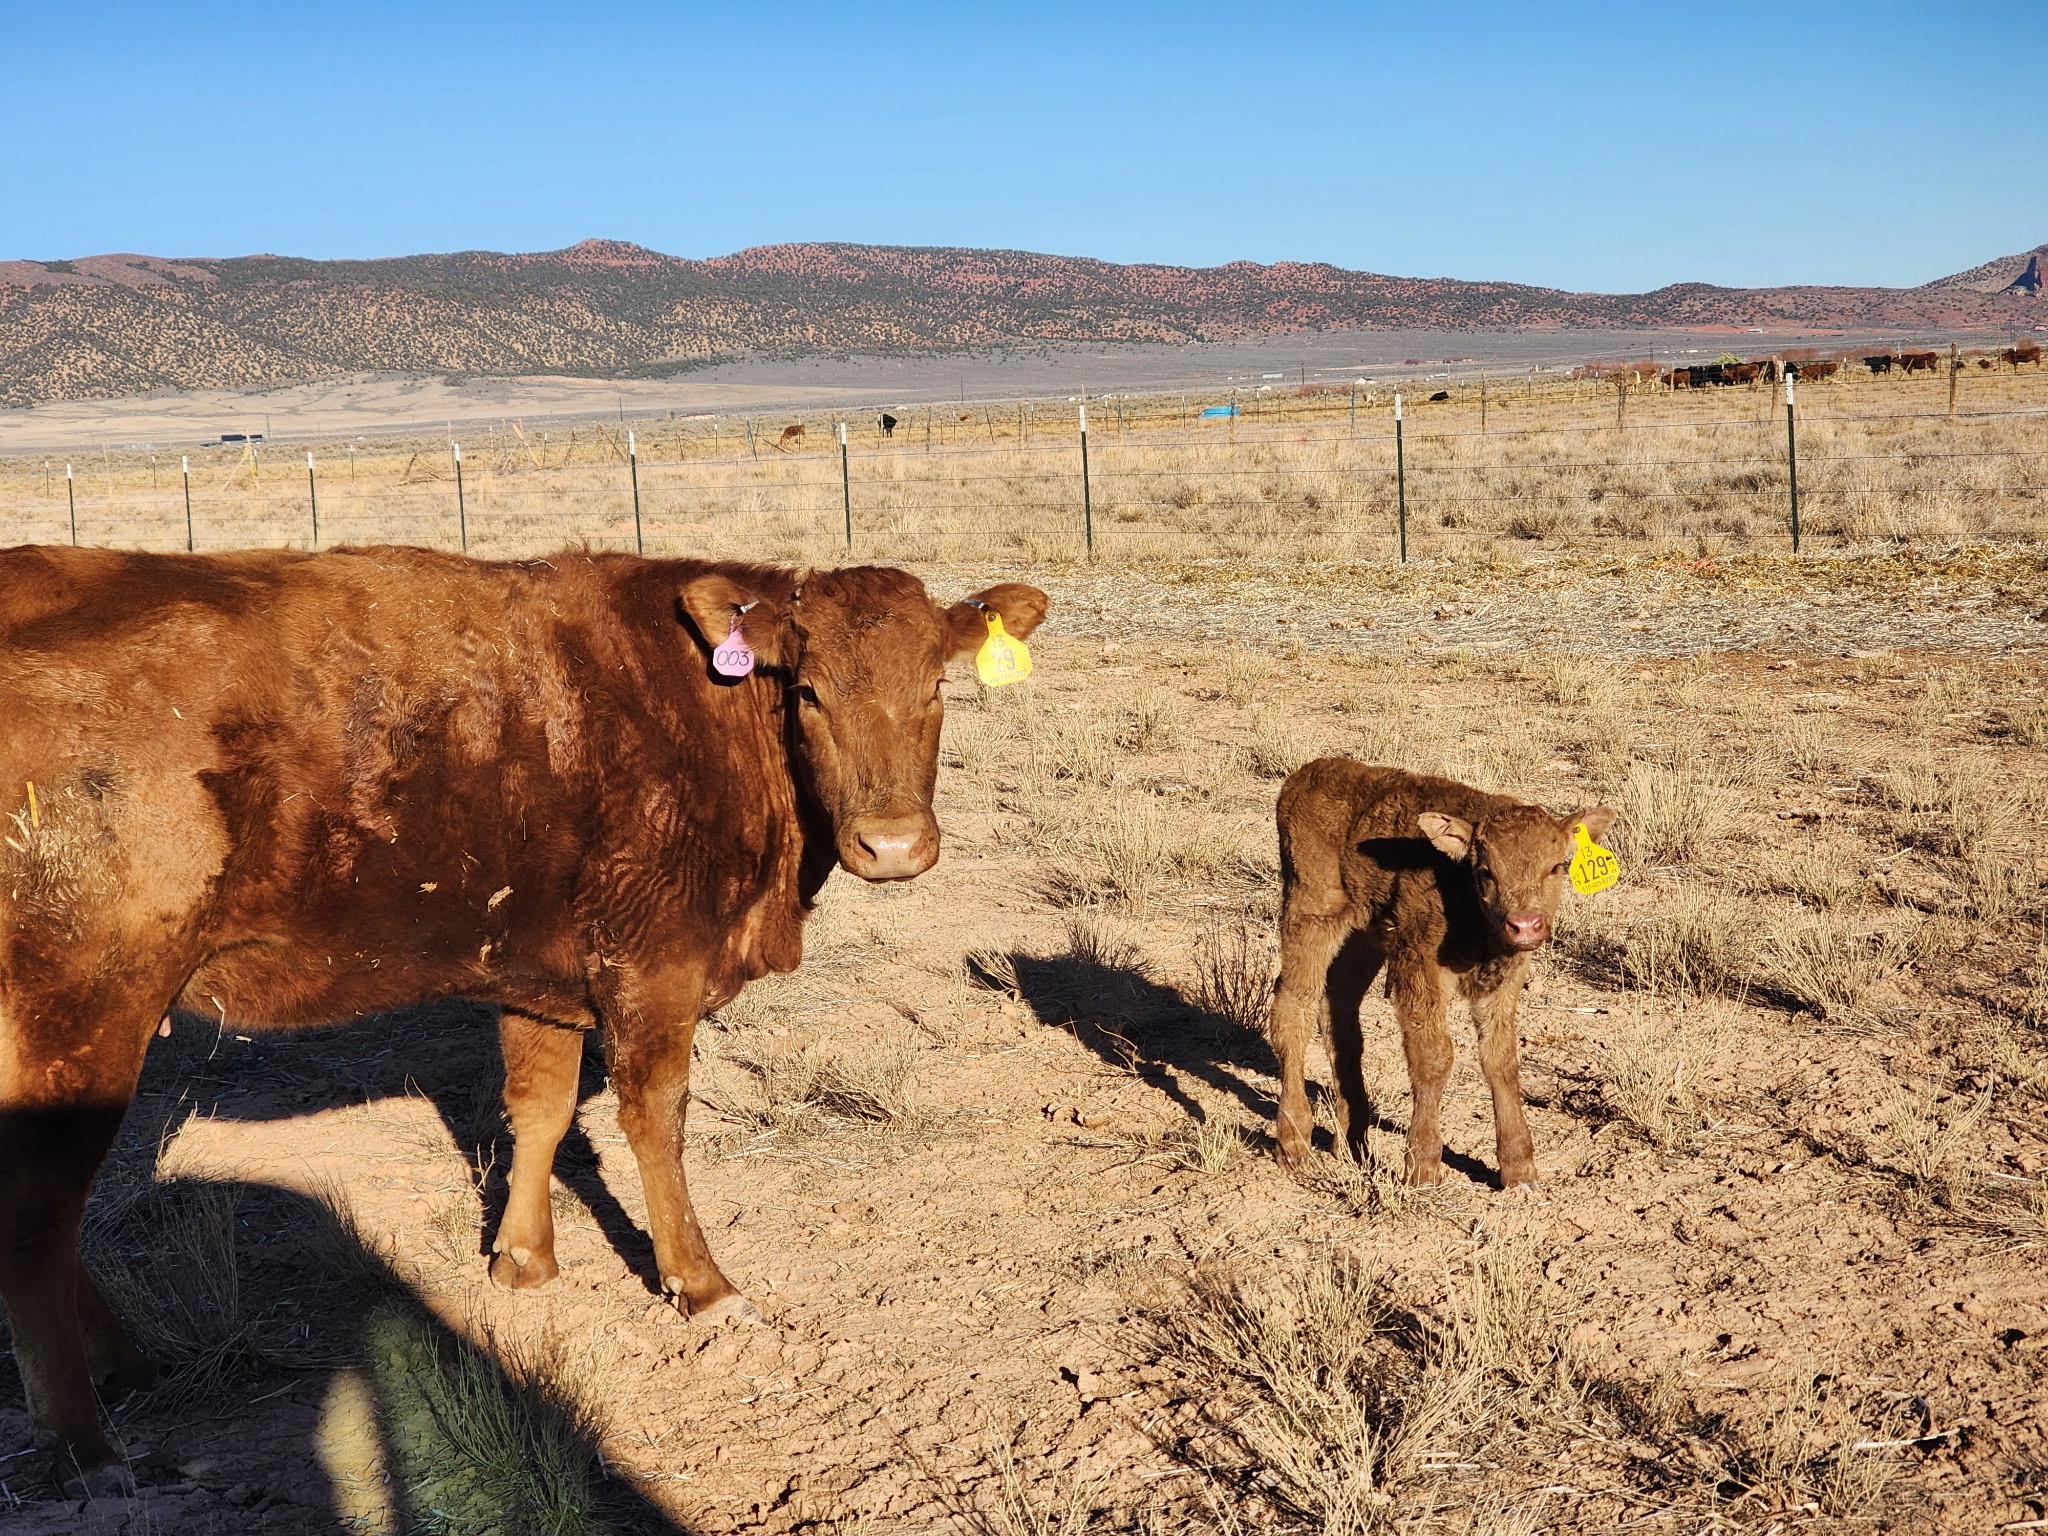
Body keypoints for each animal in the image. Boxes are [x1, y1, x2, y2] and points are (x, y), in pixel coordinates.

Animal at [0, 544, 1048, 1496]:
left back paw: (130, 1368)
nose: (894, 845)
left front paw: (523, 1260)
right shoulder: (653, 964)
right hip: (85, 1015)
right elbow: (654, 1119)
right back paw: (90, 1447)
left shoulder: (539, 976)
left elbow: (538, 1109)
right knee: (37, 1223)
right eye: (812, 693)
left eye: (938, 688)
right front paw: (702, 1284)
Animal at [1268, 760, 1613, 1187]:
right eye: (1485, 871)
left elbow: (1500, 1059)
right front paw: (1422, 1165)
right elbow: (1432, 1055)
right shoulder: (1419, 967)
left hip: (1362, 936)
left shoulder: (1504, 981)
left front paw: (1519, 1169)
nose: (1525, 925)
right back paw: (1294, 1143)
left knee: (1339, 1013)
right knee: (1294, 1006)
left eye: (1557, 867)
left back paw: (1352, 1144)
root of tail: (1311, 773)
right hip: (1311, 915)